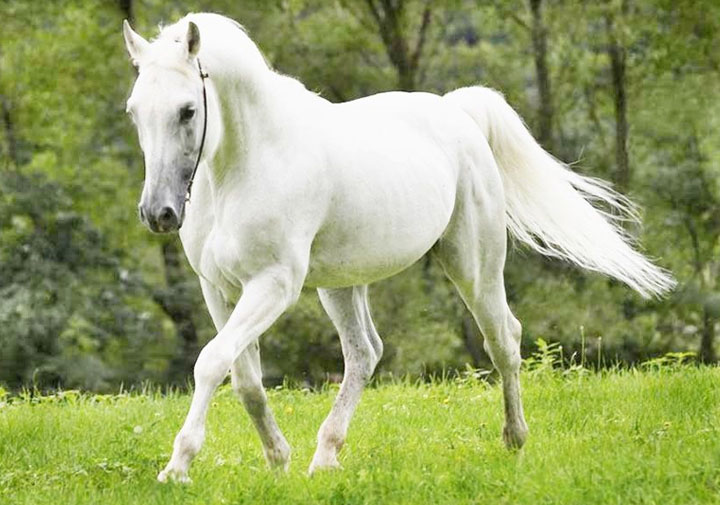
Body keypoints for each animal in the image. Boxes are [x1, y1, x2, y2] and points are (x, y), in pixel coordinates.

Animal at [122, 13, 675, 482]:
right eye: (134, 112)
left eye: (187, 110)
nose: (157, 214)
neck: (246, 165)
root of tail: (458, 112)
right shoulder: (218, 289)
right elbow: (243, 378)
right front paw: (277, 459)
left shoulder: (273, 285)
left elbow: (211, 362)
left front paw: (178, 466)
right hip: (341, 284)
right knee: (365, 354)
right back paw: (324, 458)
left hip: (472, 266)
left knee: (503, 340)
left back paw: (514, 441)